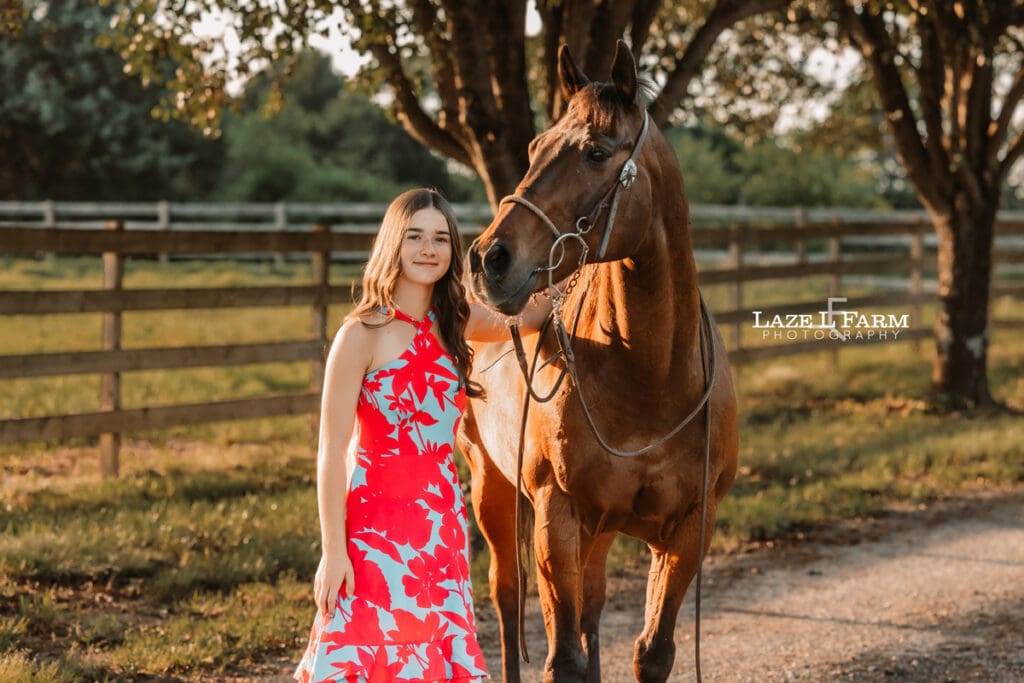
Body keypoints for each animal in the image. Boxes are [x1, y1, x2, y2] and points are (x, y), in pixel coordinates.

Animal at [458, 40, 739, 682]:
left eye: (595, 152)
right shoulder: (556, 518)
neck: (650, 379)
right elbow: (563, 656)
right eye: (535, 147)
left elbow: (651, 651)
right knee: (507, 602)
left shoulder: (688, 530)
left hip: (602, 531)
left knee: (590, 606)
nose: (487, 259)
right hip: (493, 489)